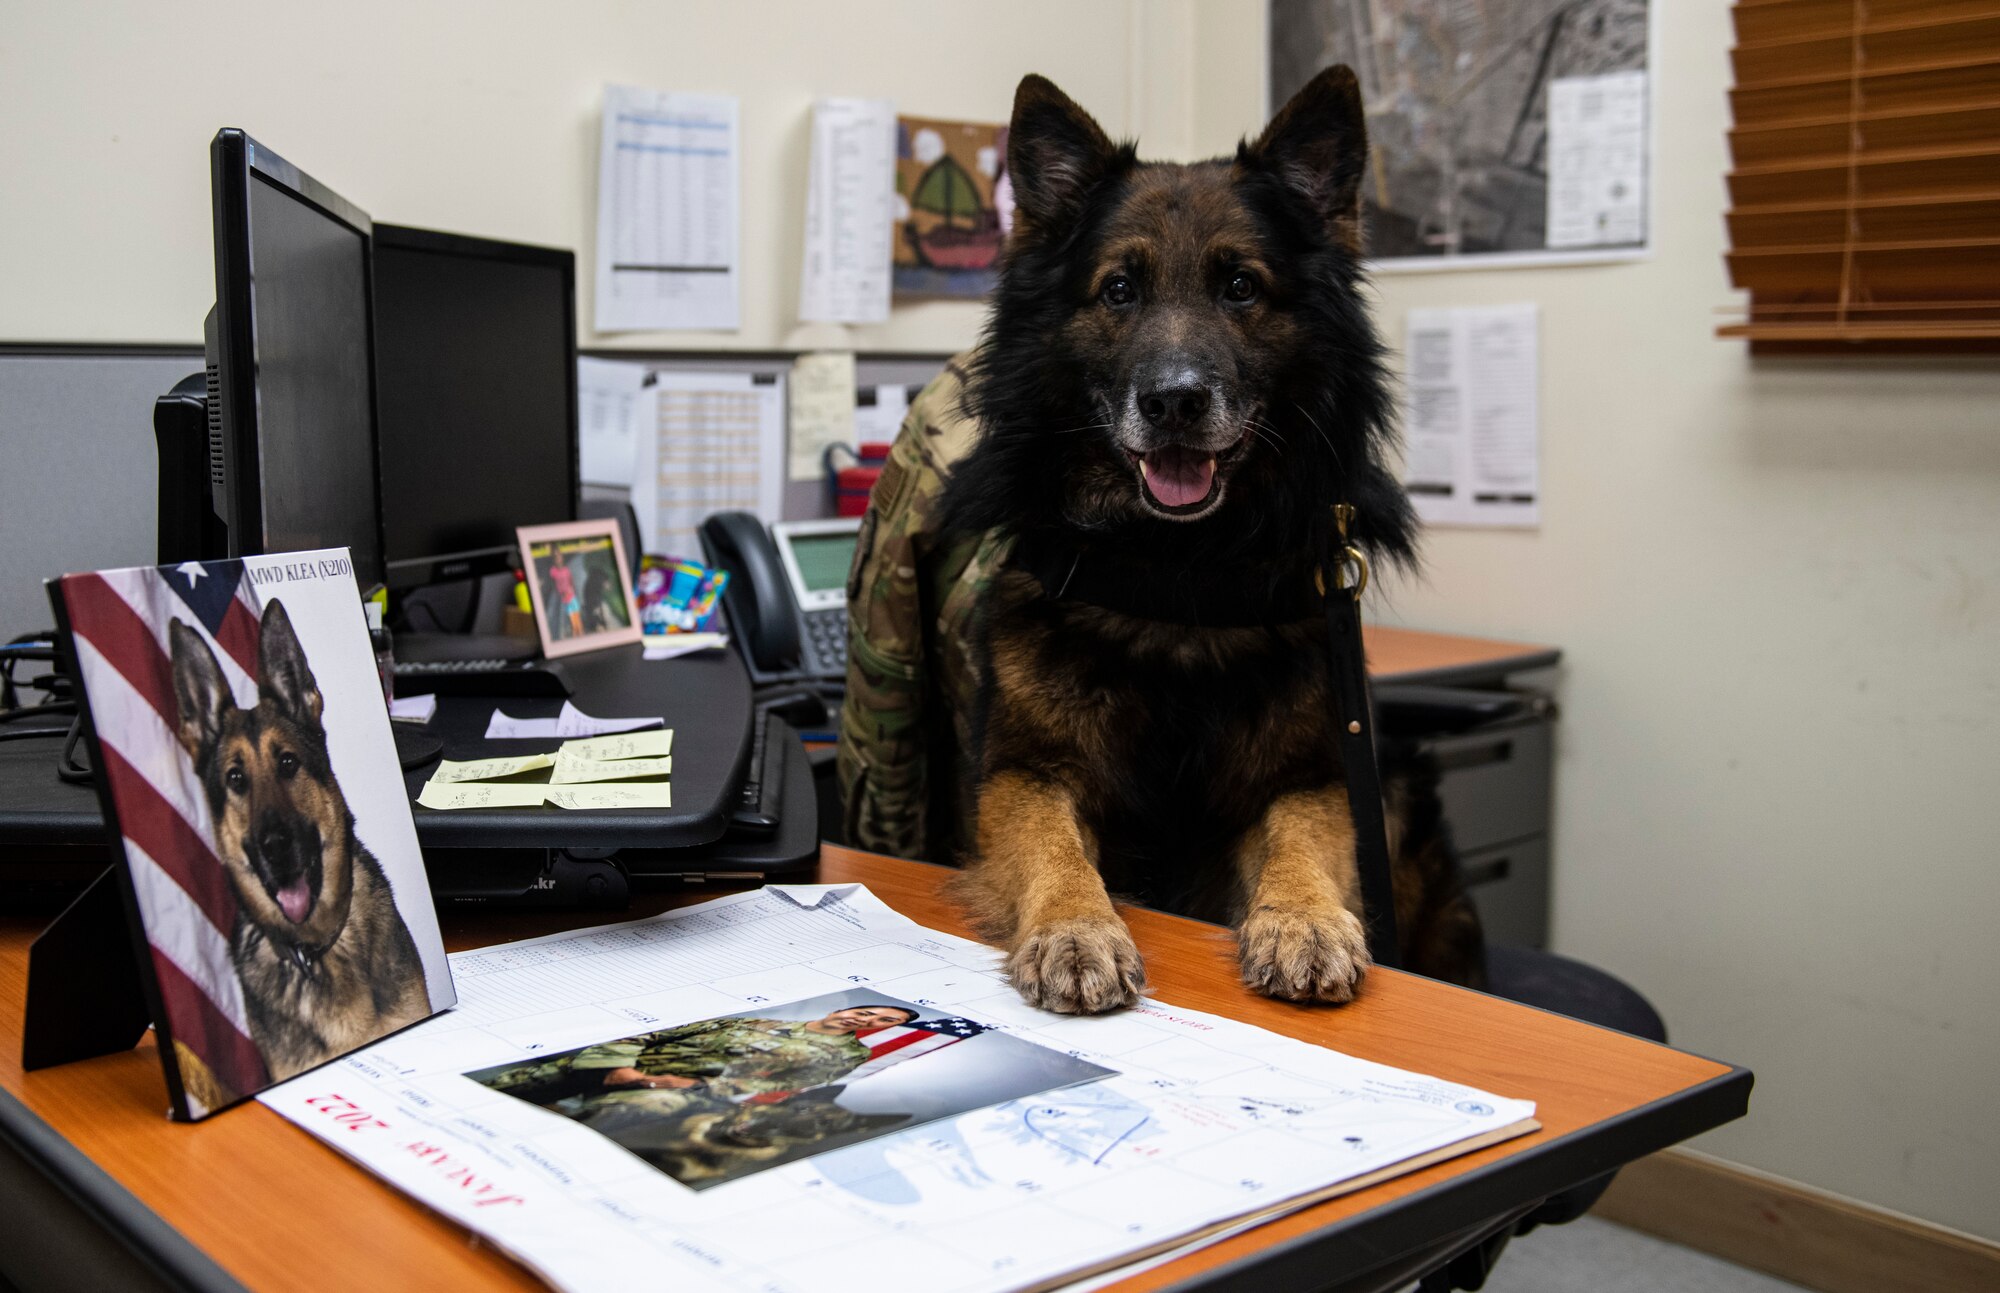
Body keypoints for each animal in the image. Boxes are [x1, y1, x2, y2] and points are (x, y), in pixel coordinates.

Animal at [944, 71, 1480, 1016]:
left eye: (1239, 286)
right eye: (1119, 290)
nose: (1174, 401)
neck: (1179, 574)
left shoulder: (1317, 774)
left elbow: (1302, 840)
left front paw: (1302, 919)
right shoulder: (1023, 771)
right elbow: (1052, 845)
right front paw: (1076, 926)